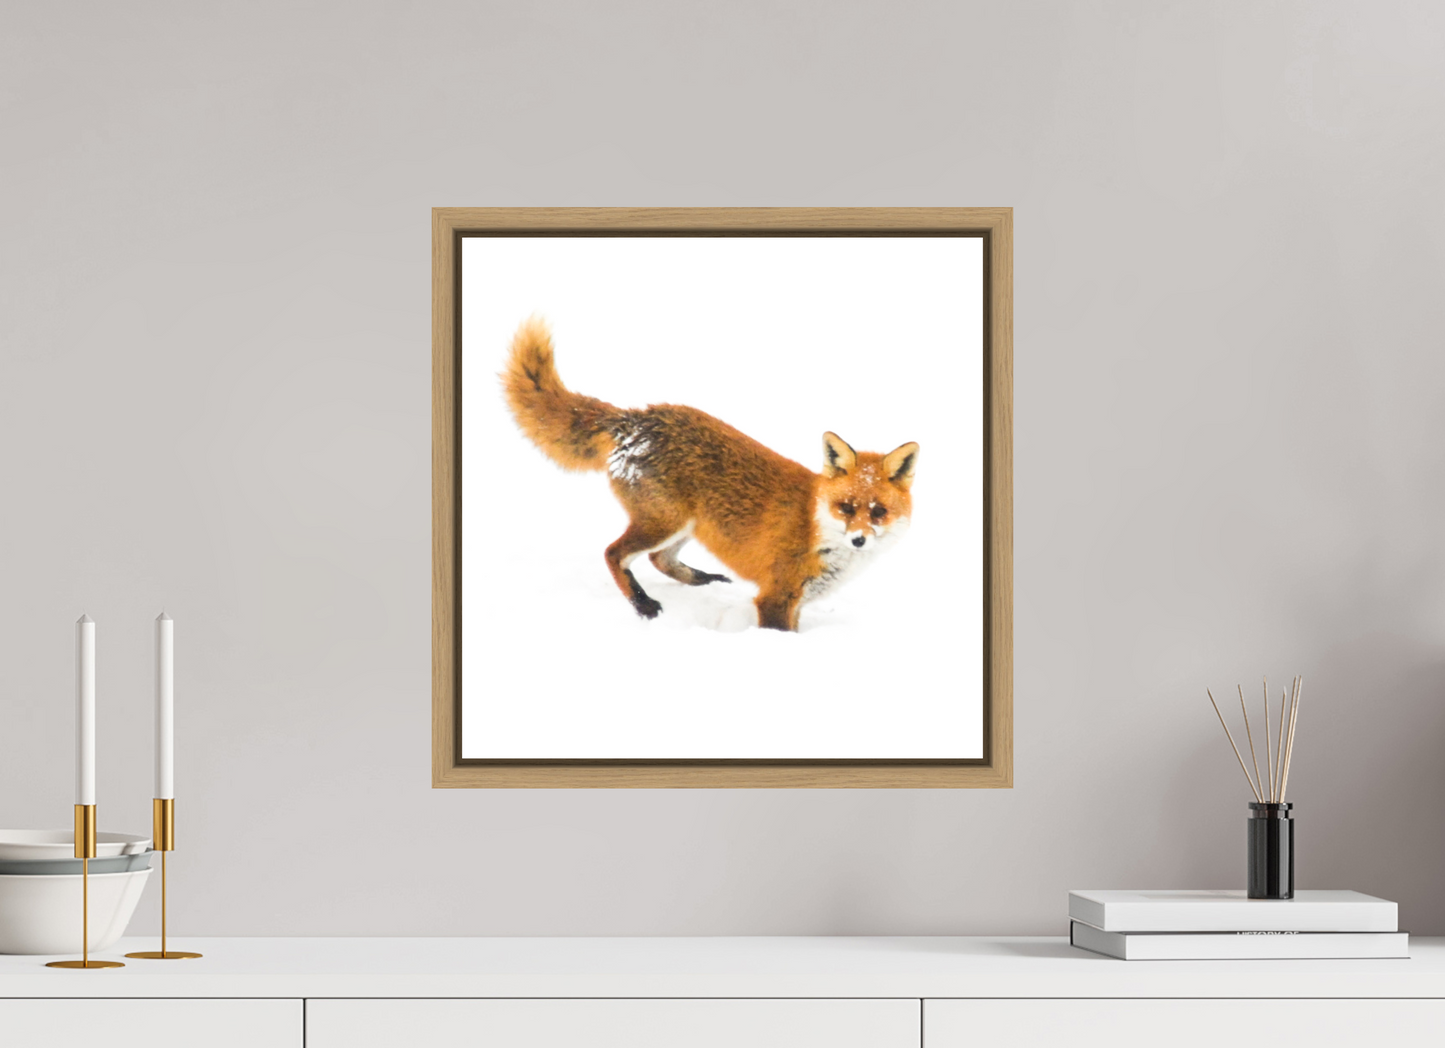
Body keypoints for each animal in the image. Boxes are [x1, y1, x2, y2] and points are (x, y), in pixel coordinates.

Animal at [501, 317, 919, 632]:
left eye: (878, 511)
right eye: (845, 508)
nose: (860, 540)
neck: (818, 529)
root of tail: (634, 418)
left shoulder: (796, 600)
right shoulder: (775, 597)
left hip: (689, 525)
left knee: (659, 560)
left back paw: (702, 580)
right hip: (664, 520)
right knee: (613, 554)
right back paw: (643, 605)